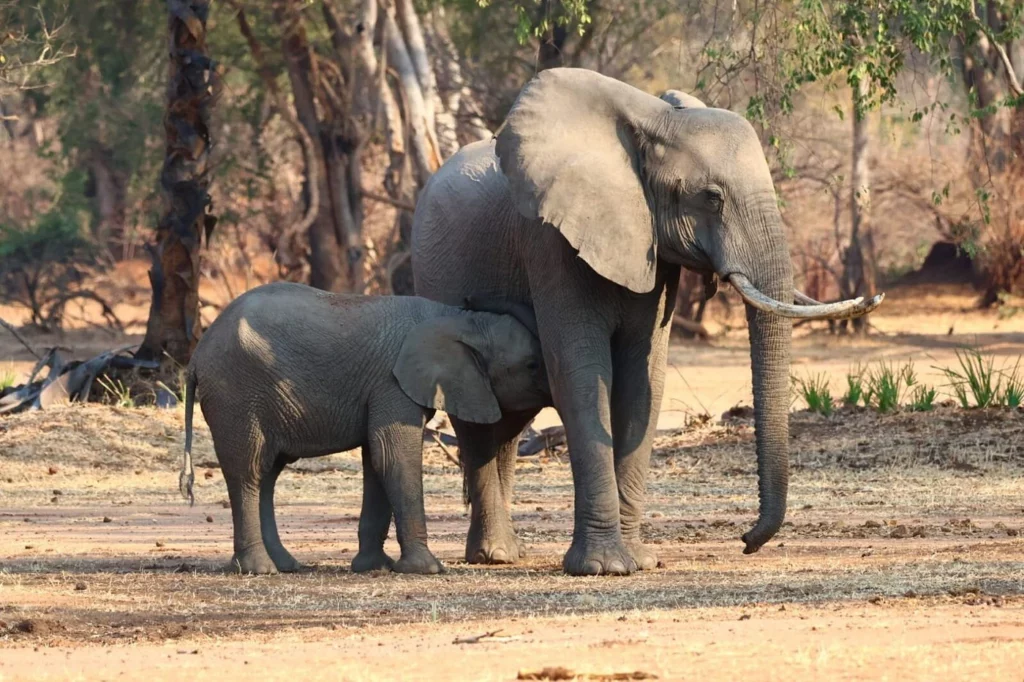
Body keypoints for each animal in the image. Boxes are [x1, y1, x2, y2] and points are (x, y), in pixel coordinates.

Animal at [177, 282, 550, 575]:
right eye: (532, 365)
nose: (471, 296)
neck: (456, 319)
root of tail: (195, 359)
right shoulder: (392, 383)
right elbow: (394, 456)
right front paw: (427, 569)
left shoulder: (383, 389)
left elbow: (377, 460)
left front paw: (375, 567)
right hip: (238, 396)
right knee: (249, 470)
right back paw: (259, 569)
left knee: (267, 473)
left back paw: (285, 565)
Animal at [411, 68, 882, 575]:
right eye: (712, 198)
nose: (745, 541)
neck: (653, 123)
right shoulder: (549, 242)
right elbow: (581, 374)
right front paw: (603, 568)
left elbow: (644, 380)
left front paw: (639, 561)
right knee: (477, 417)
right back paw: (493, 555)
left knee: (511, 423)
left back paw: (504, 553)